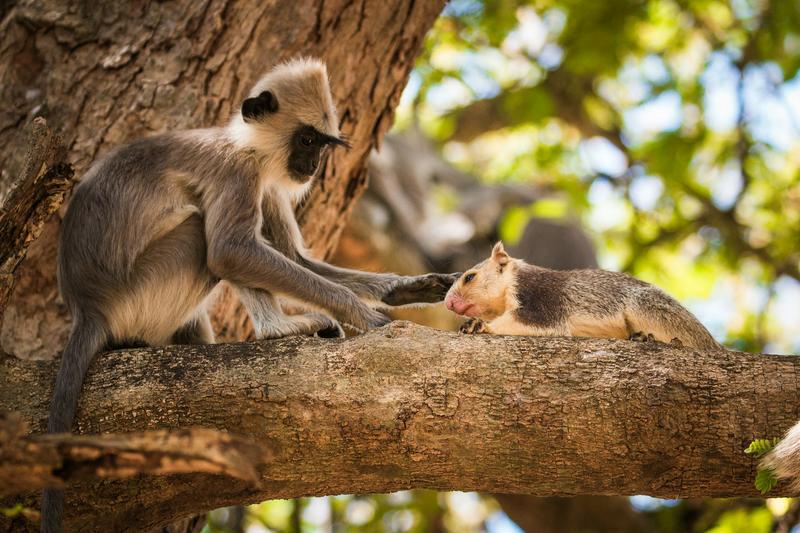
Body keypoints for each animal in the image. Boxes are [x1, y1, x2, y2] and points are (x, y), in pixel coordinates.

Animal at [42, 58, 456, 532]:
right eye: (307, 140)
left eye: (322, 144)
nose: (314, 165)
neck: (246, 144)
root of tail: (86, 306)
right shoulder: (238, 171)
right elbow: (230, 251)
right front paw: (362, 315)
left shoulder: (270, 183)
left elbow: (295, 257)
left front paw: (405, 289)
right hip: (138, 295)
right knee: (207, 236)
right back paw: (278, 330)